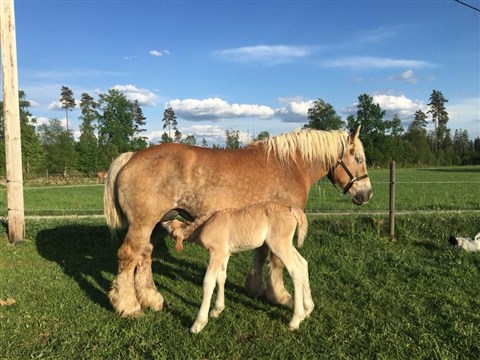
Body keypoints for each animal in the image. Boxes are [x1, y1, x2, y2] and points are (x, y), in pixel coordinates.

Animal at [105, 126, 374, 316]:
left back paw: (152, 298)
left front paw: (255, 288)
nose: (366, 194)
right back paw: (129, 306)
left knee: (144, 255)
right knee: (128, 256)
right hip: (143, 224)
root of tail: (131, 156)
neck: (291, 165)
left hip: (155, 223)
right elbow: (276, 261)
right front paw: (280, 295)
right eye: (360, 159)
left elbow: (261, 254)